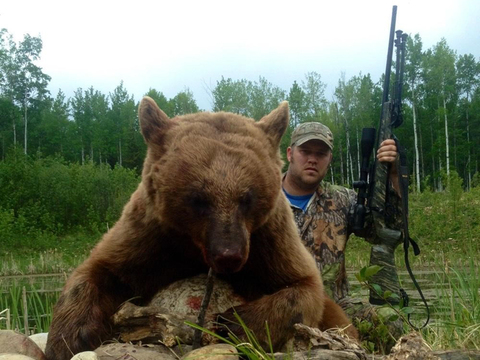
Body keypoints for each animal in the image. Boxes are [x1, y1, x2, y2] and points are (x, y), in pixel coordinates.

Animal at [44, 97, 356, 358]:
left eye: (247, 198)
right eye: (198, 198)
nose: (229, 255)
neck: (192, 247)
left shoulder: (268, 239)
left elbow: (303, 288)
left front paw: (231, 322)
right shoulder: (150, 234)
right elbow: (100, 270)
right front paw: (72, 336)